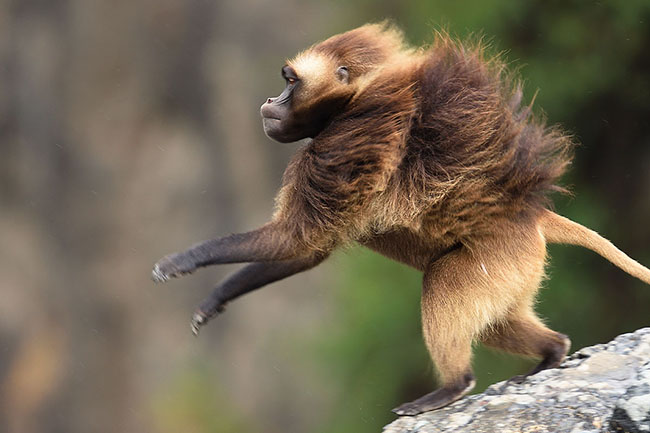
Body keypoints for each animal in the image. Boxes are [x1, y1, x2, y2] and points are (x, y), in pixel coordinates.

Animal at [152, 23, 650, 416]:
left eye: (290, 82)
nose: (270, 100)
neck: (349, 105)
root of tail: (529, 214)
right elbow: (306, 252)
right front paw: (215, 299)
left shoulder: (340, 149)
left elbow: (295, 240)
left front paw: (183, 262)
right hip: (513, 270)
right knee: (502, 320)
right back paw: (550, 354)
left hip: (494, 258)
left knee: (442, 287)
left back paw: (451, 387)